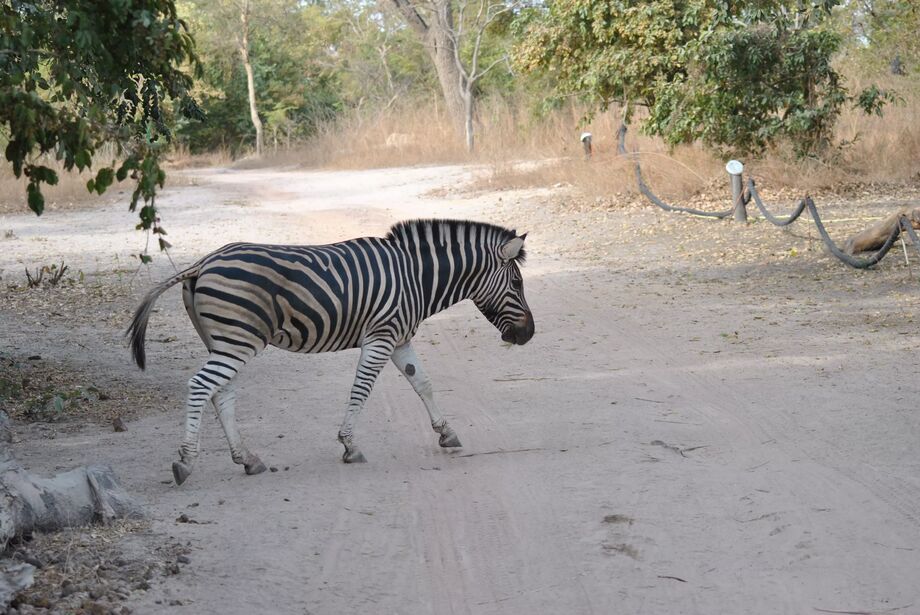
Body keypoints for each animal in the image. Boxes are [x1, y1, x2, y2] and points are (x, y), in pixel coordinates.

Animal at [126, 219, 536, 484]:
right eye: (517, 283)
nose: (529, 334)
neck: (415, 277)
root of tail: (202, 263)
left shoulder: (399, 338)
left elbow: (424, 384)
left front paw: (446, 433)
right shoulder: (381, 336)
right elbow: (361, 389)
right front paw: (350, 446)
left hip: (225, 342)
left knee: (221, 394)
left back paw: (248, 460)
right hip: (237, 341)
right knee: (200, 387)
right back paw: (185, 462)